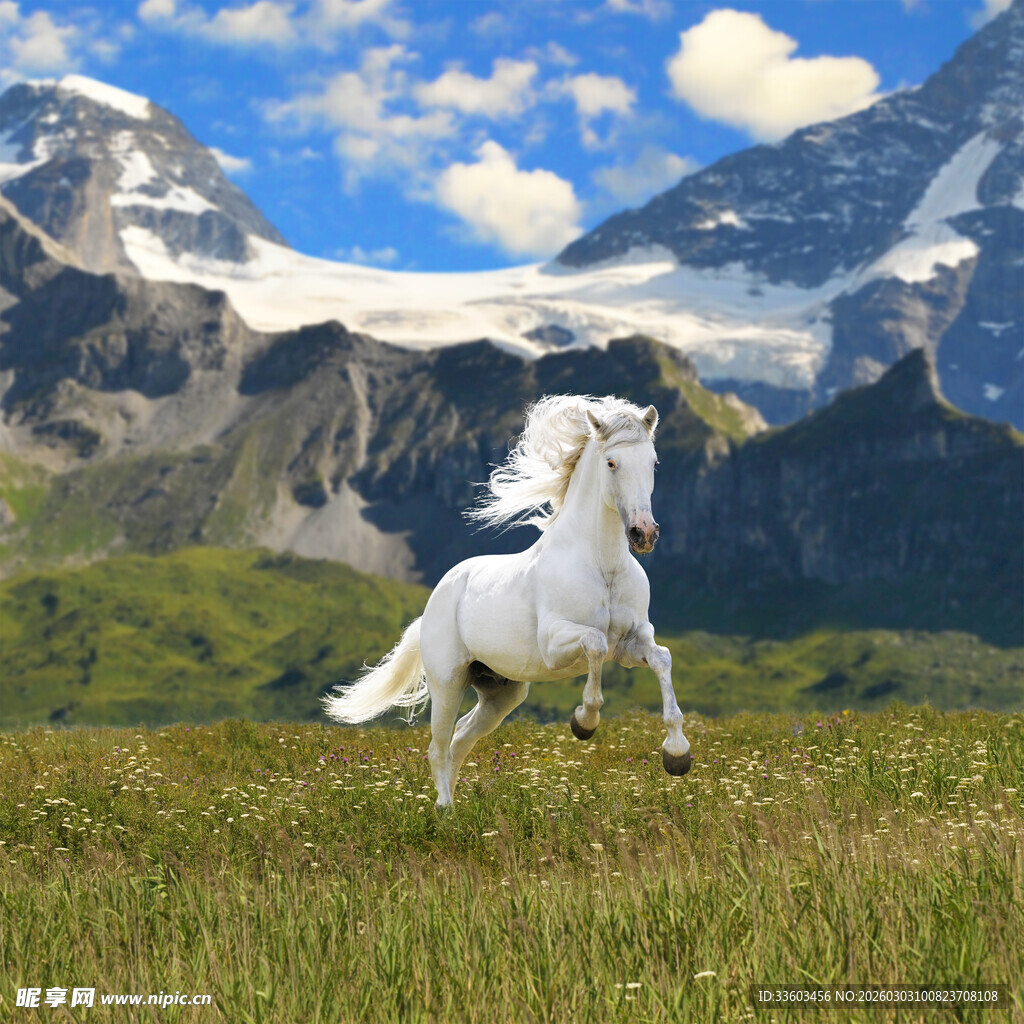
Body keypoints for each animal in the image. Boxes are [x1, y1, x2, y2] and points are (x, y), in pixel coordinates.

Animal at [322, 394, 691, 807]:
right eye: (612, 462)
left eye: (654, 462)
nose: (644, 533)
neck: (603, 566)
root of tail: (434, 602)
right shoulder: (555, 643)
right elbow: (595, 643)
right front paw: (584, 722)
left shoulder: (631, 643)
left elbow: (662, 658)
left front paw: (677, 755)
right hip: (448, 682)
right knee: (438, 746)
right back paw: (444, 810)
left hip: (501, 691)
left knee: (461, 738)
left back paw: (455, 806)